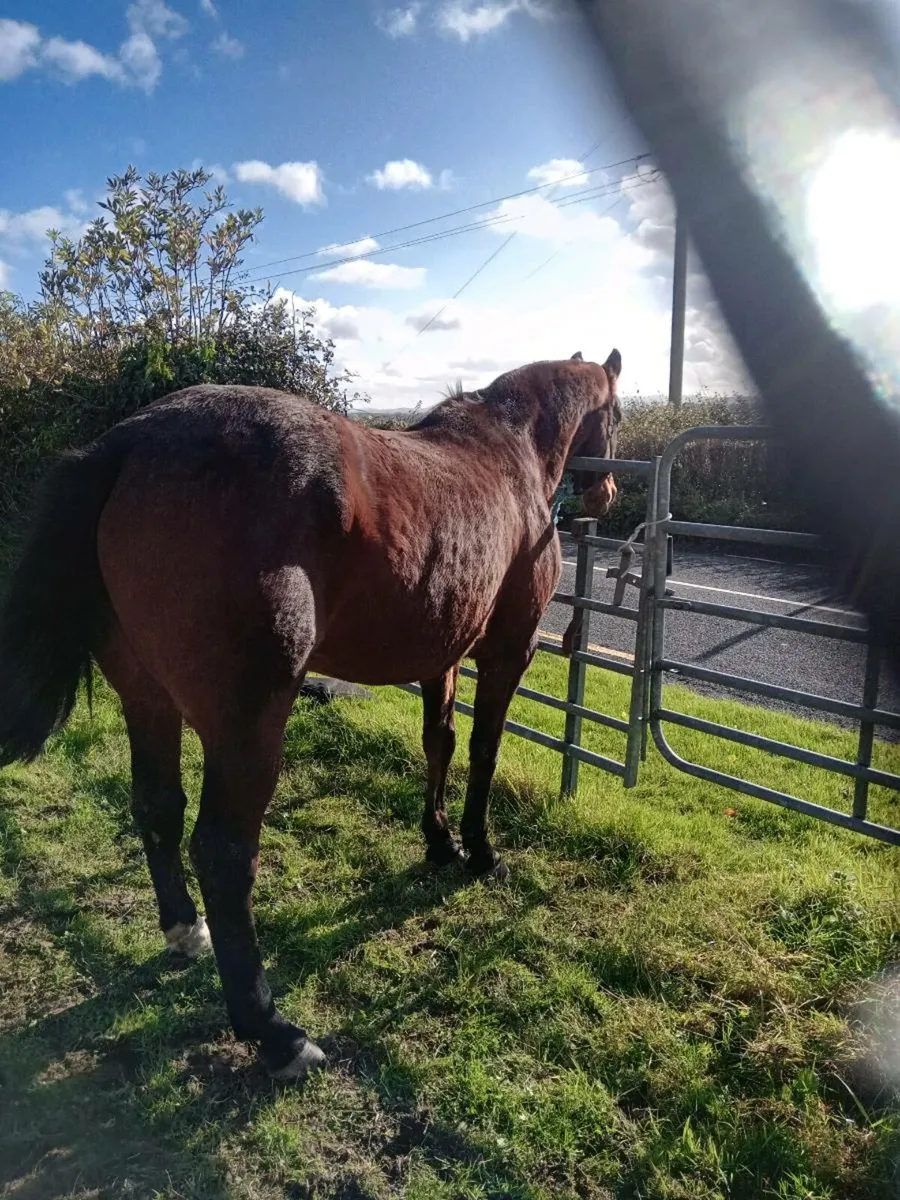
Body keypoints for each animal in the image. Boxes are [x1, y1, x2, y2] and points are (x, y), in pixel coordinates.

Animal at [0, 348, 621, 1081]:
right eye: (617, 414)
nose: (608, 493)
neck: (506, 449)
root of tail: (126, 444)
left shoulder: (440, 654)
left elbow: (438, 741)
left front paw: (440, 841)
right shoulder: (507, 651)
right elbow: (484, 749)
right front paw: (480, 850)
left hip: (147, 698)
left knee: (156, 806)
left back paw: (184, 929)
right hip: (247, 725)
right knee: (223, 852)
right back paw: (275, 1033)